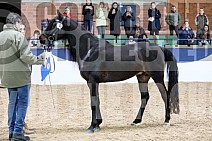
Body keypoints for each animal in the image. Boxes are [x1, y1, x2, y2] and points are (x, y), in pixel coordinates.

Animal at [39, 10, 179, 133]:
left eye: (54, 24)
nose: (41, 38)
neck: (90, 50)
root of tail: (159, 48)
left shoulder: (92, 81)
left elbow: (93, 102)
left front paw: (92, 126)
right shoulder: (94, 82)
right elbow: (97, 101)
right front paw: (98, 123)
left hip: (157, 77)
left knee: (165, 95)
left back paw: (167, 120)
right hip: (142, 77)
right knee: (145, 97)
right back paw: (136, 120)